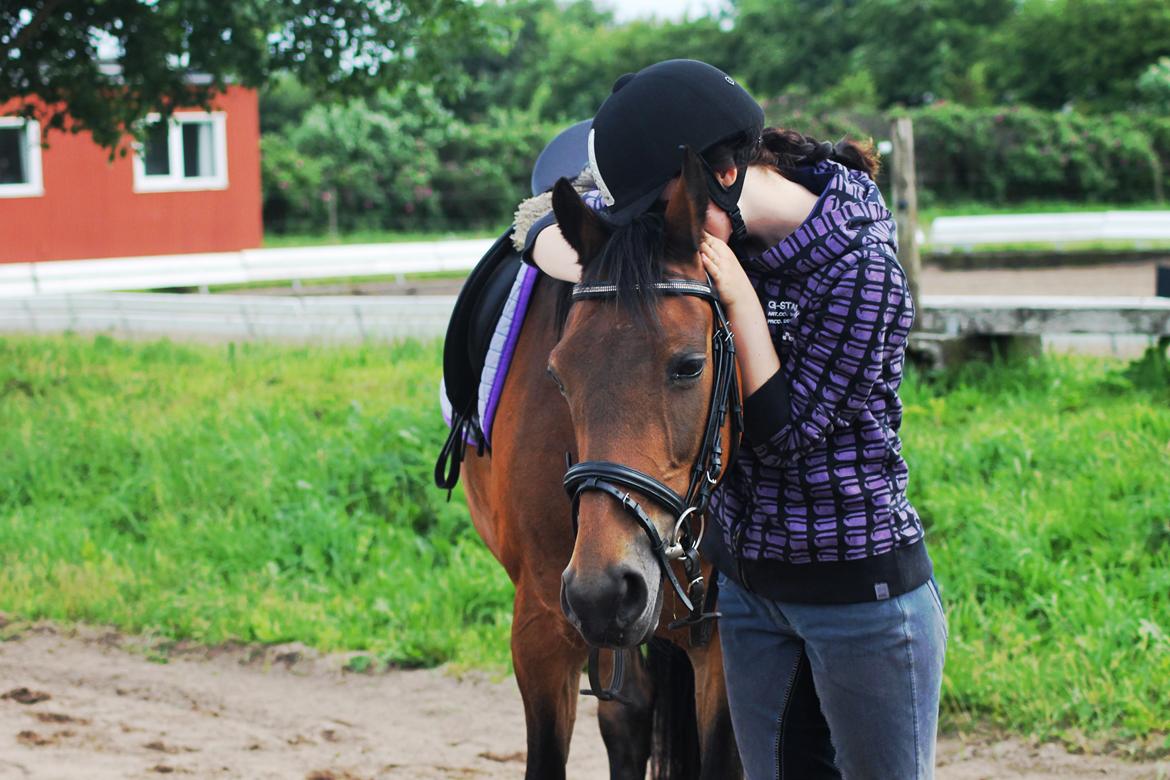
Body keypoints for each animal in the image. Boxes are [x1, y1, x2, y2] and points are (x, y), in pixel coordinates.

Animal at [463, 149, 744, 776]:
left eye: (689, 366)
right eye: (558, 374)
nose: (605, 590)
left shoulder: (723, 644)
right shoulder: (541, 628)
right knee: (628, 714)